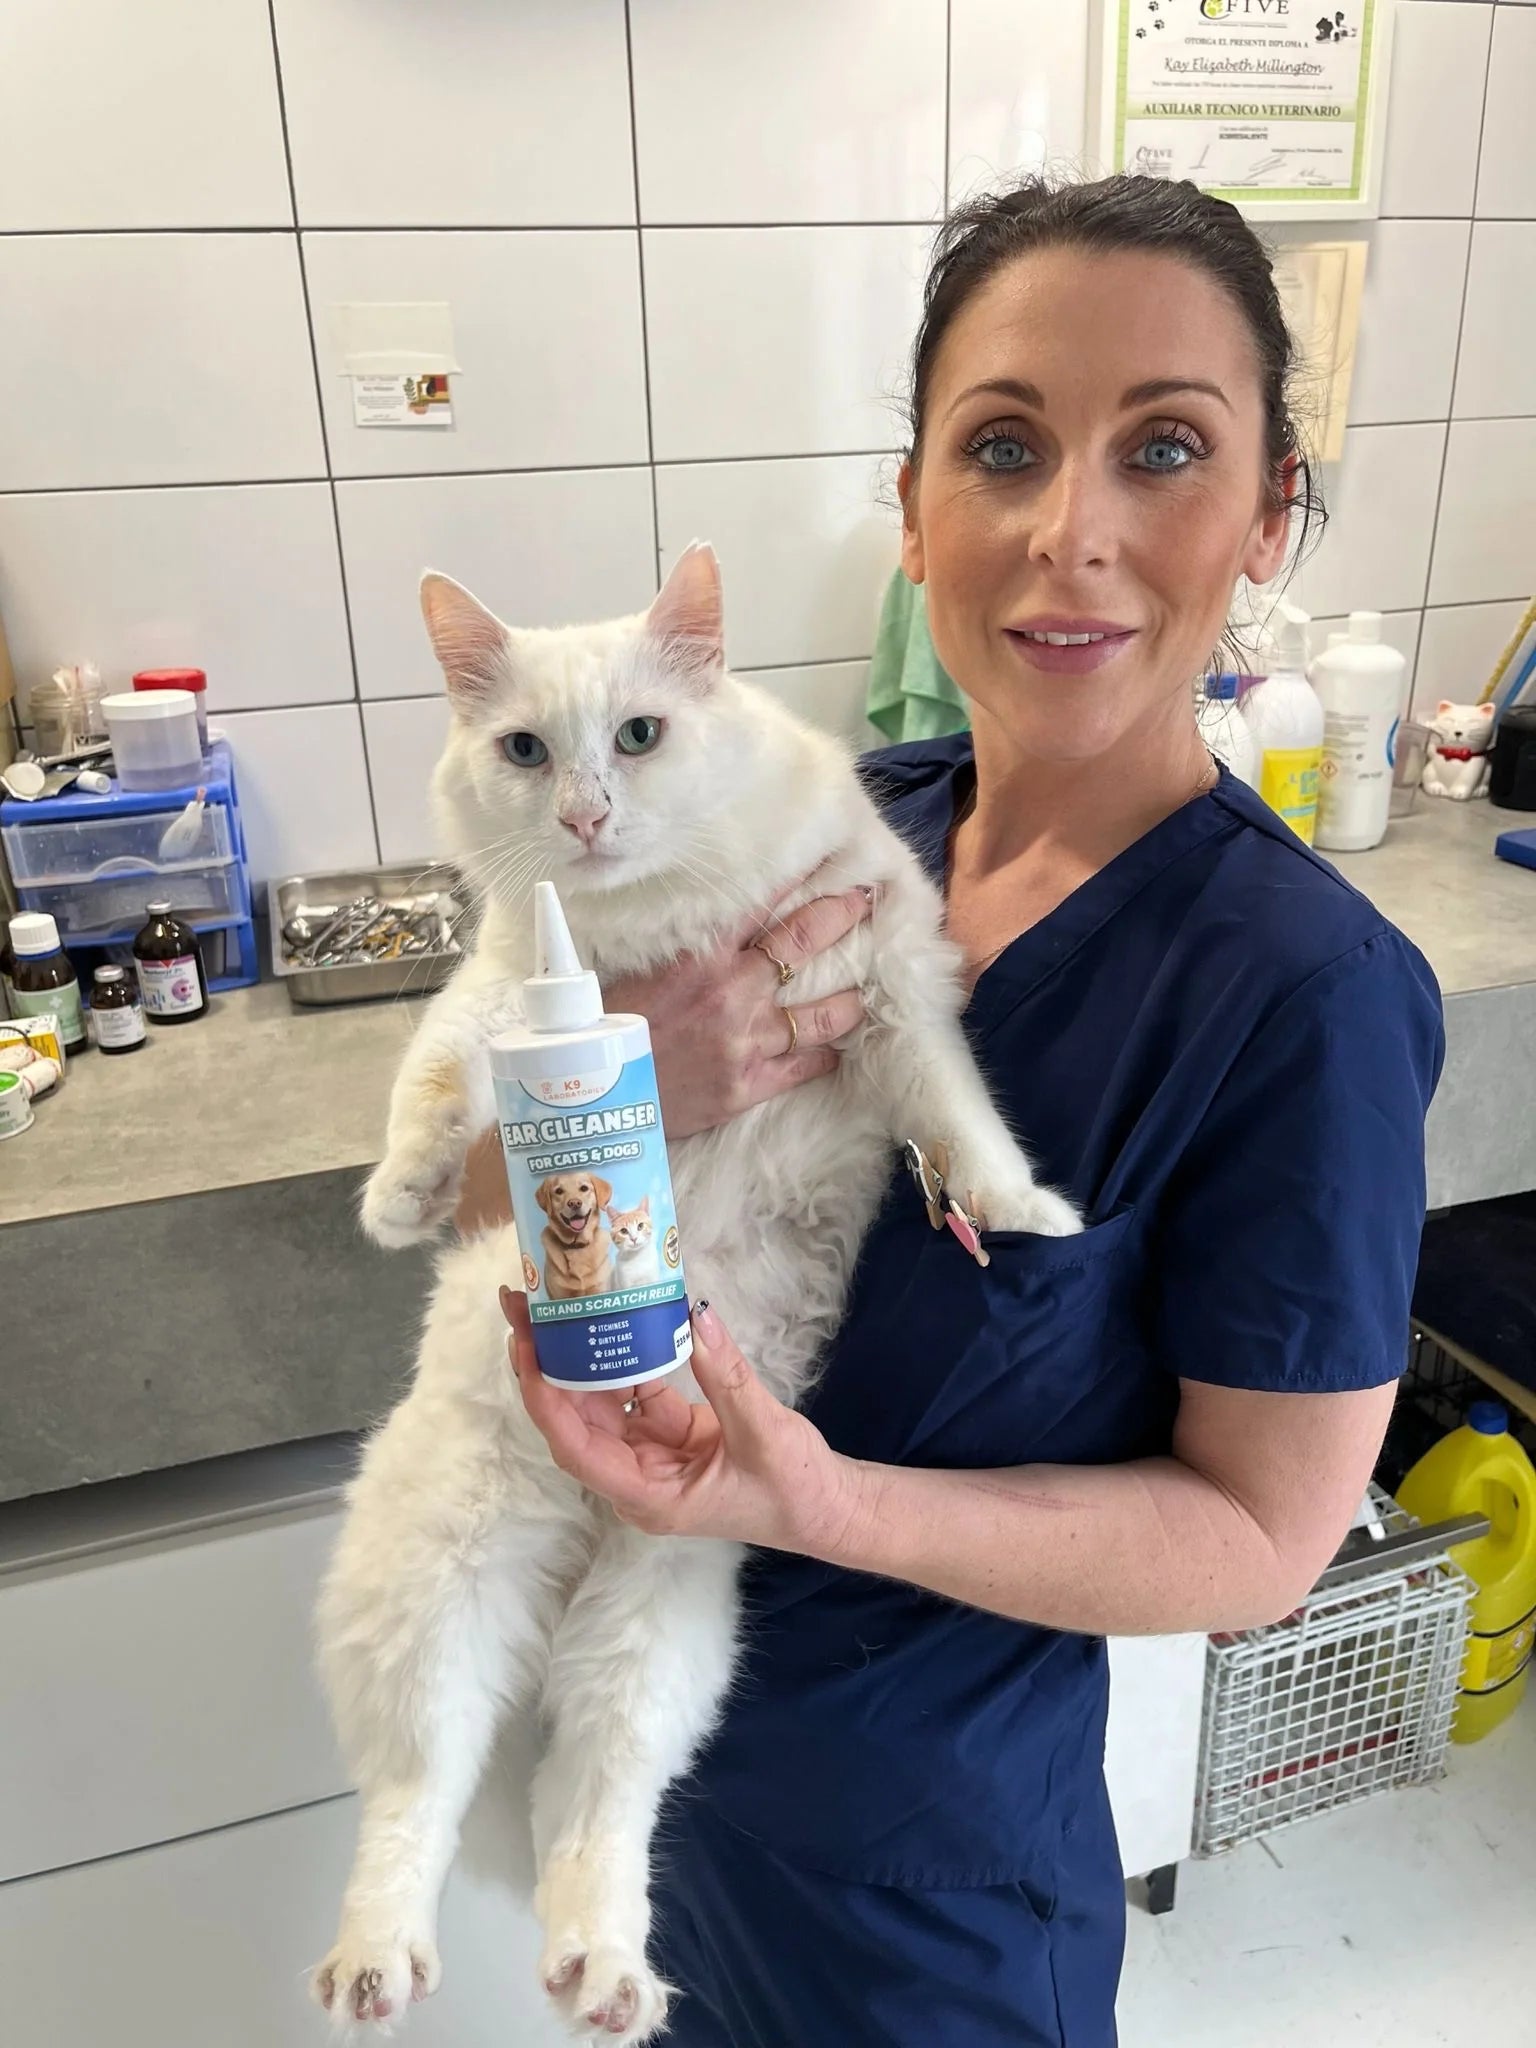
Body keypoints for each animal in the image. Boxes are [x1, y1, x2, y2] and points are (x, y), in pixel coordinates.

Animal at [534, 1172, 614, 1300]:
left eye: (584, 1188)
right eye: (559, 1191)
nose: (574, 1203)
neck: (576, 1245)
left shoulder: (601, 1289)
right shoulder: (560, 1296)